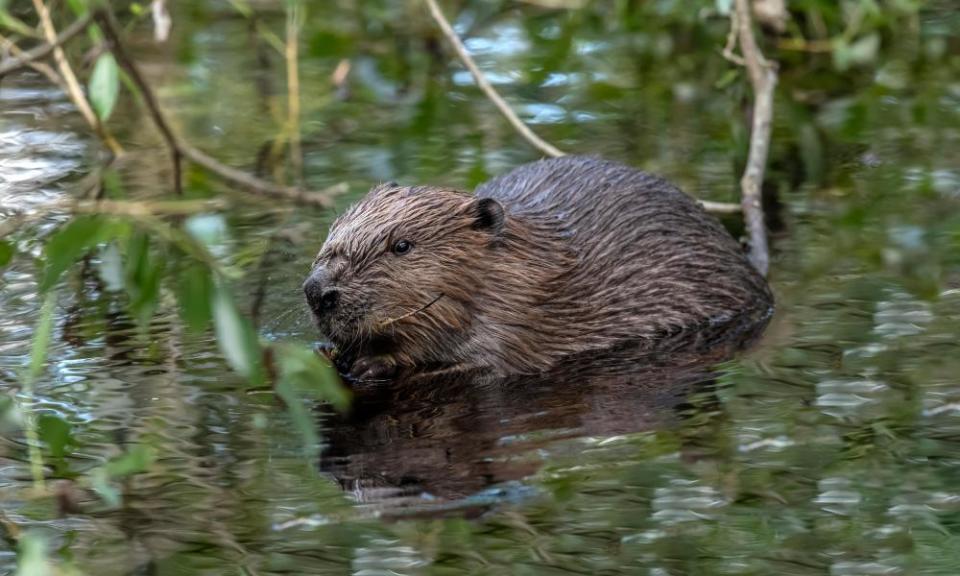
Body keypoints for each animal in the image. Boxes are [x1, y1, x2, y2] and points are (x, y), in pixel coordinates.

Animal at [304, 155, 776, 378]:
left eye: (401, 245)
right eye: (333, 229)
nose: (317, 290)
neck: (523, 263)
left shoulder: (518, 321)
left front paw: (368, 365)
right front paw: (332, 354)